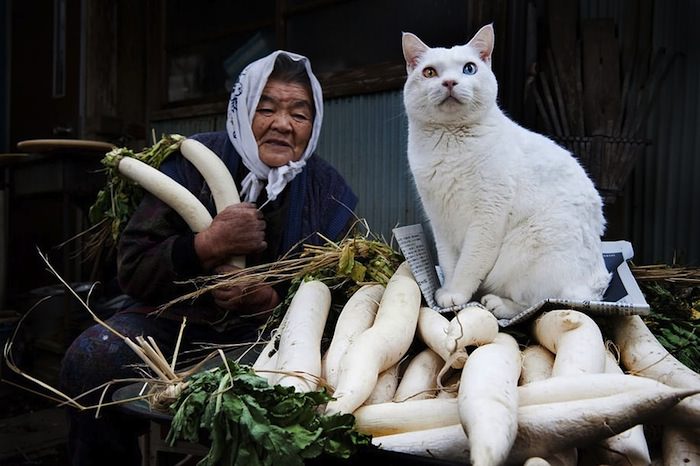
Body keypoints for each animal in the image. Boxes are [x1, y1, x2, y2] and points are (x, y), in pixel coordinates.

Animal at [402, 23, 608, 318]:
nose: (450, 82)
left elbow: (469, 263)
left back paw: (497, 303)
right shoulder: (441, 223)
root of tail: (598, 286)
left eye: (469, 69)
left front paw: (457, 294)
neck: (450, 145)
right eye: (430, 72)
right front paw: (448, 293)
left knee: (540, 302)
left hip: (529, 247)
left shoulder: (487, 217)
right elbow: (450, 263)